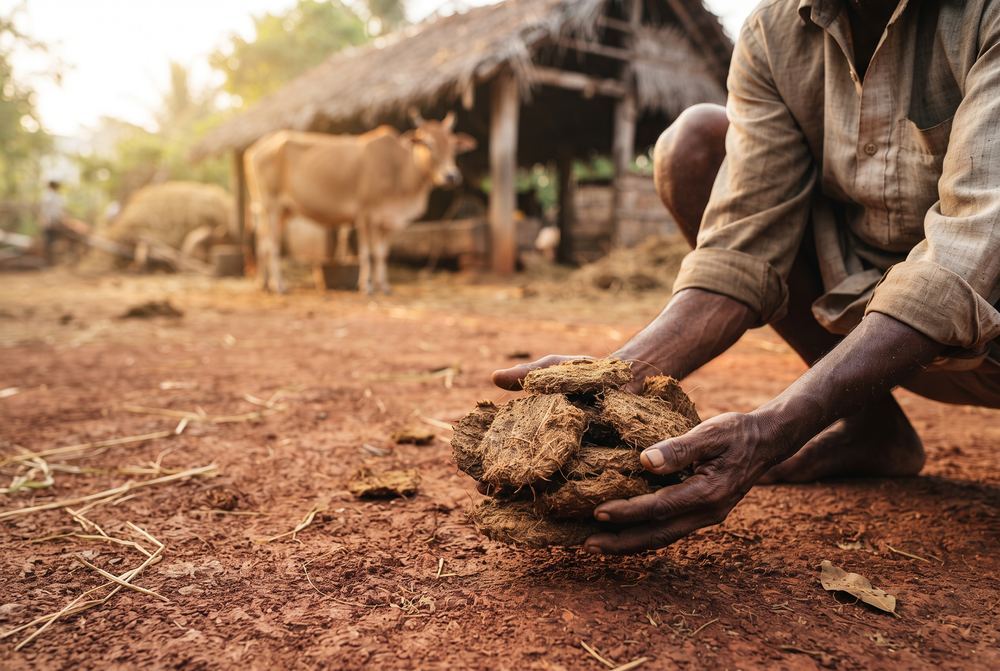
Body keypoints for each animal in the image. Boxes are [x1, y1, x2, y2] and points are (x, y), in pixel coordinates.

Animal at [243, 112, 476, 294]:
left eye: (453, 146)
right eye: (428, 144)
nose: (451, 176)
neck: (400, 170)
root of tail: (254, 149)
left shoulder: (390, 220)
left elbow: (382, 253)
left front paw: (384, 286)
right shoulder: (366, 213)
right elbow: (368, 253)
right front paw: (367, 286)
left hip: (282, 210)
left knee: (262, 242)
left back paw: (263, 283)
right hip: (270, 205)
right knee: (271, 244)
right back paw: (278, 285)